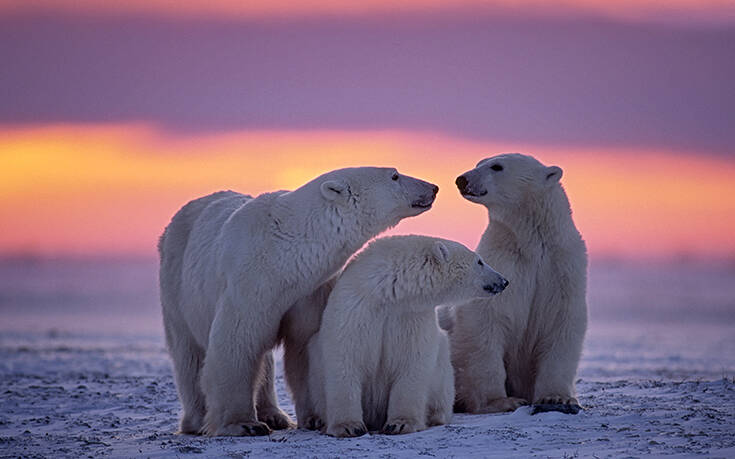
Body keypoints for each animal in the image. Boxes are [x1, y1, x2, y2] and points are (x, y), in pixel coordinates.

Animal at [159, 167, 440, 436]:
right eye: (394, 175)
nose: (433, 187)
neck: (284, 254)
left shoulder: (309, 290)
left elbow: (306, 345)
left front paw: (315, 418)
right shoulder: (249, 281)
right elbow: (236, 342)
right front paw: (243, 424)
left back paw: (275, 415)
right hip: (176, 285)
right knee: (189, 354)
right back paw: (197, 420)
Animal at [302, 237, 508, 438]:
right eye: (479, 261)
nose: (504, 281)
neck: (388, 293)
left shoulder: (411, 316)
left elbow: (412, 363)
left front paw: (400, 424)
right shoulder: (356, 309)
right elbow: (345, 359)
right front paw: (349, 427)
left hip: (443, 371)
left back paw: (435, 416)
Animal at [446, 153, 588, 416]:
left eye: (496, 166)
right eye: (479, 162)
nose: (462, 180)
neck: (531, 244)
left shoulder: (562, 269)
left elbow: (561, 322)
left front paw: (557, 398)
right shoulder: (503, 264)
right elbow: (486, 320)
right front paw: (502, 401)